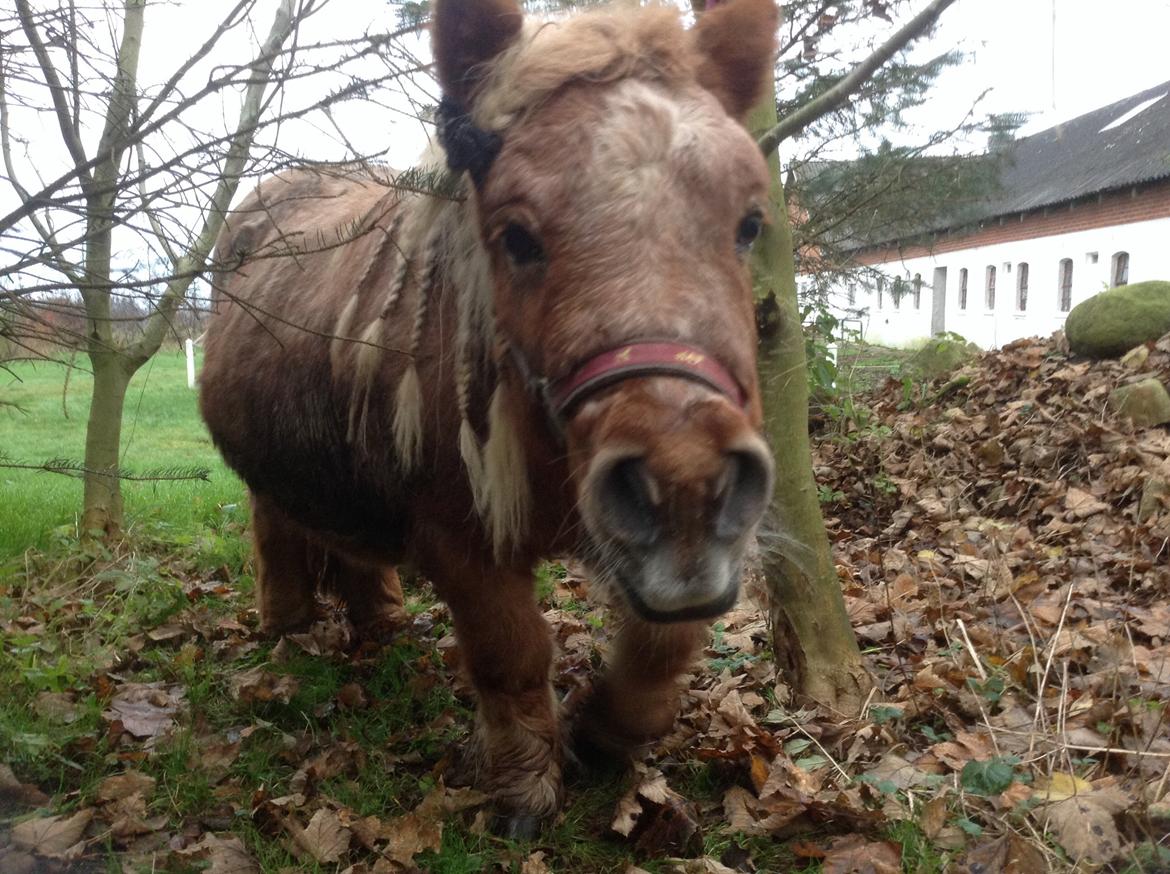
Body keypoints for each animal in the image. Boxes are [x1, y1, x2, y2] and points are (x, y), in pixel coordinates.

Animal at [203, 0, 776, 837]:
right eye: (516, 236)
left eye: (750, 223)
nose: (685, 488)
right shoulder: (461, 542)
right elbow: (513, 654)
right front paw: (523, 786)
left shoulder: (685, 564)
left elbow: (662, 652)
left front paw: (601, 734)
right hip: (270, 483)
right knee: (277, 528)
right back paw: (287, 622)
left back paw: (379, 617)